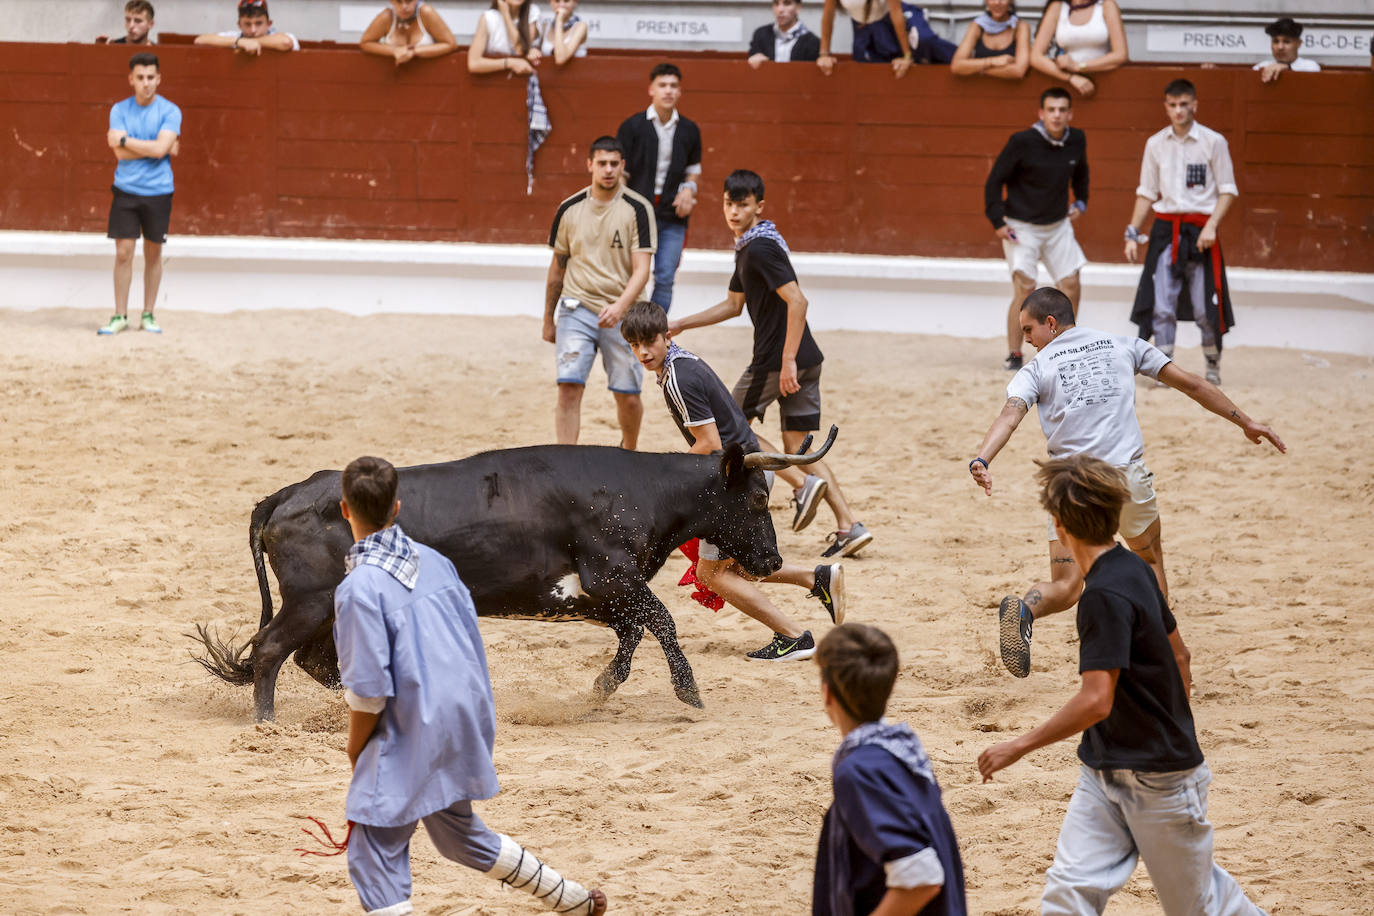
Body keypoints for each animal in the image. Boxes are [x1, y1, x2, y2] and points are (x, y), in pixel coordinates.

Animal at [193, 431, 835, 725]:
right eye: (758, 497)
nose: (771, 561)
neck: (642, 491)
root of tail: (289, 492)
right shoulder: (613, 579)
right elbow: (663, 621)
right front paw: (690, 693)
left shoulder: (594, 595)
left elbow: (634, 632)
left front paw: (601, 688)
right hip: (310, 600)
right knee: (273, 650)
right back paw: (267, 722)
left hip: (326, 606)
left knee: (312, 659)